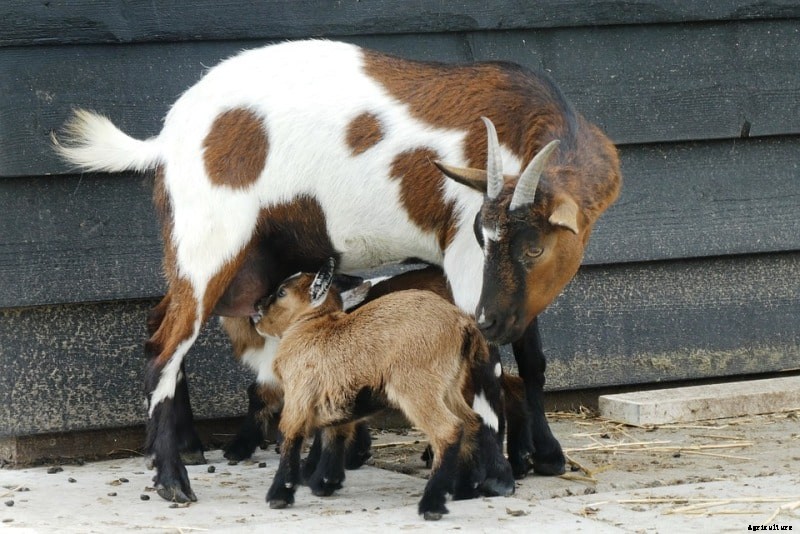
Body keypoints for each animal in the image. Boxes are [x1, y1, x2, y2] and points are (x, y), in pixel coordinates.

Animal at [253, 259, 512, 519]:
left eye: (281, 292)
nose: (256, 309)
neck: (311, 326)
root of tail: (461, 323)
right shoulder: (337, 398)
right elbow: (334, 435)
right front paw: (325, 483)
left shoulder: (299, 395)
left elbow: (291, 436)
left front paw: (279, 495)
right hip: (448, 385)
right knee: (472, 421)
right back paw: (464, 490)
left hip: (417, 387)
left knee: (448, 429)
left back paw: (432, 504)